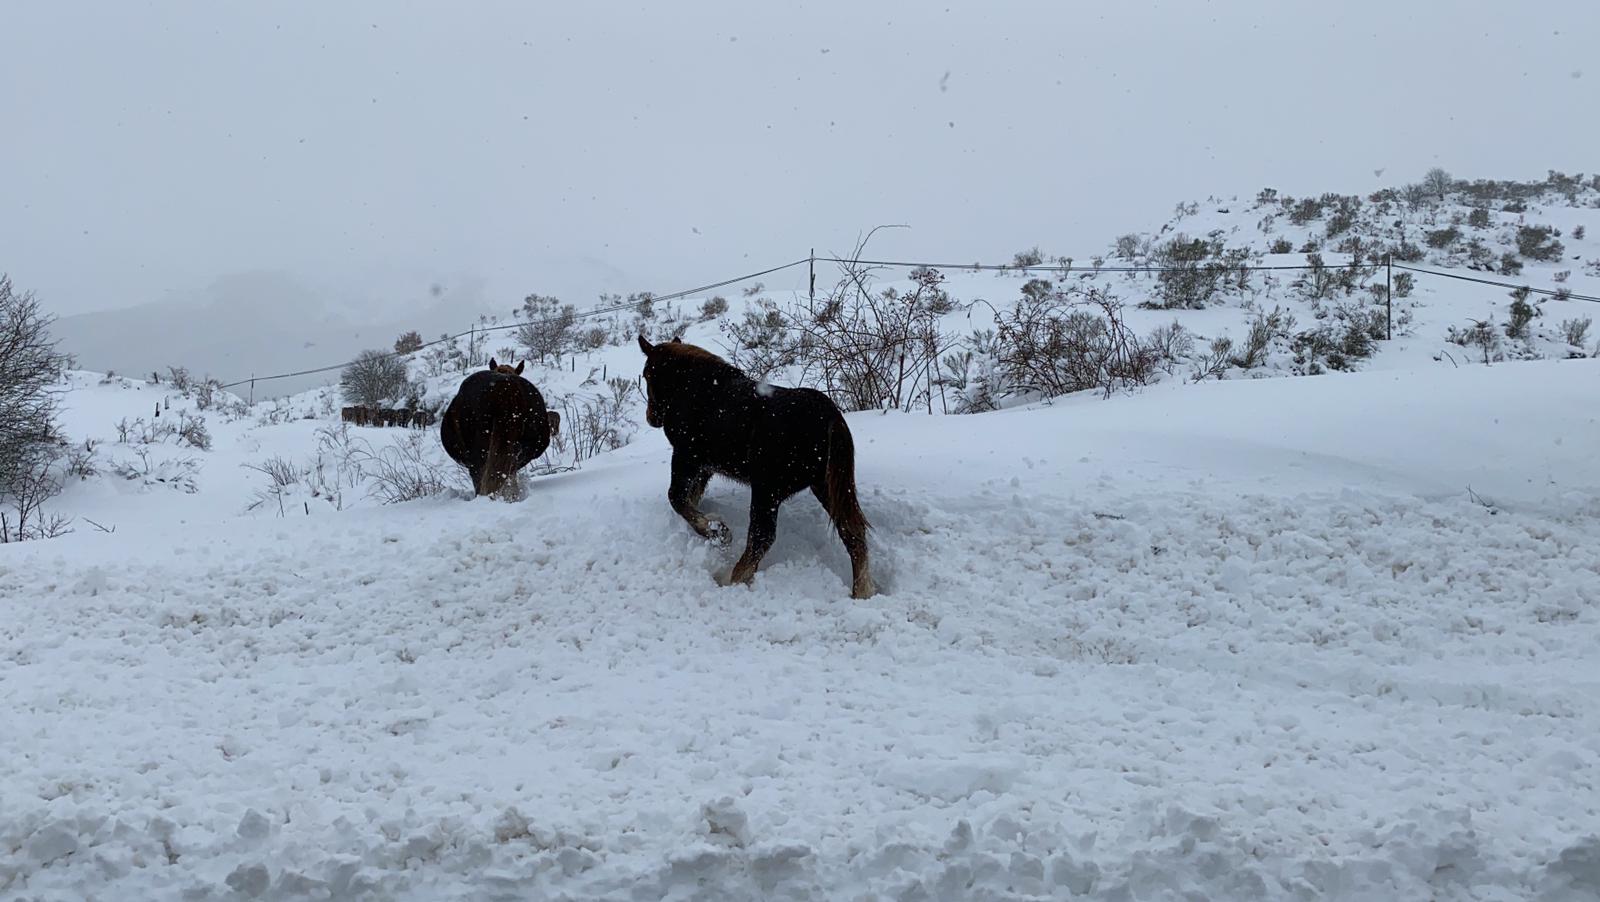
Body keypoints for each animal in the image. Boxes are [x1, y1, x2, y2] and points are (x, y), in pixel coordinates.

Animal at [633, 334, 876, 594]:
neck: (688, 388)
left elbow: (677, 498)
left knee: (762, 537)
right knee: (852, 533)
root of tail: (832, 419)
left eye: (646, 374)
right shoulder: (705, 467)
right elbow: (691, 498)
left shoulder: (686, 456)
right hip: (825, 486)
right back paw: (862, 591)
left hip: (766, 490)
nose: (651, 417)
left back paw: (731, 580)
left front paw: (717, 531)